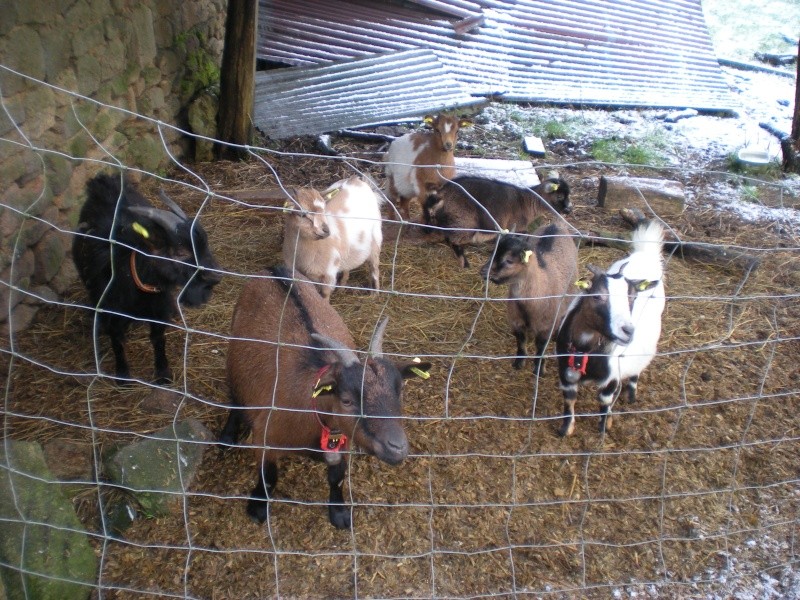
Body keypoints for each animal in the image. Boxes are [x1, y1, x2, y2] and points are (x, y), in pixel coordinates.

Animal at [72, 171, 222, 382]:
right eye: (180, 252)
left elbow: (158, 338)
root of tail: (104, 182)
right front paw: (123, 376)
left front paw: (163, 374)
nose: (215, 275)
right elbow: (117, 339)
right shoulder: (112, 308)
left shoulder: (158, 305)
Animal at [219, 268, 432, 528]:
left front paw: (339, 513)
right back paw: (227, 437)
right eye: (347, 400)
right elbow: (268, 476)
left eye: (399, 391)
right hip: (234, 362)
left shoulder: (344, 438)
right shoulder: (264, 438)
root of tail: (271, 269)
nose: (397, 448)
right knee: (235, 398)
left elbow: (337, 477)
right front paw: (258, 507)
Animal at [422, 173, 572, 268]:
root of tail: (443, 193)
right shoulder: (517, 226)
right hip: (465, 221)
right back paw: (464, 262)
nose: (569, 209)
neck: (527, 201)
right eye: (560, 196)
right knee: (453, 240)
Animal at [482, 225, 576, 376]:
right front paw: (518, 363)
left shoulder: (546, 326)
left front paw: (539, 369)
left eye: (509, 260)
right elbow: (520, 341)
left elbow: (541, 348)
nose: (483, 271)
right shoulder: (515, 320)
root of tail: (555, 224)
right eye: (493, 252)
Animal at [552, 220, 664, 436]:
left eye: (633, 297)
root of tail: (645, 254)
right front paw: (565, 429)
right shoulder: (565, 371)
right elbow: (569, 399)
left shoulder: (612, 376)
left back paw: (631, 394)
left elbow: (604, 401)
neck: (585, 350)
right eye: (597, 295)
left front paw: (604, 426)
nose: (628, 331)